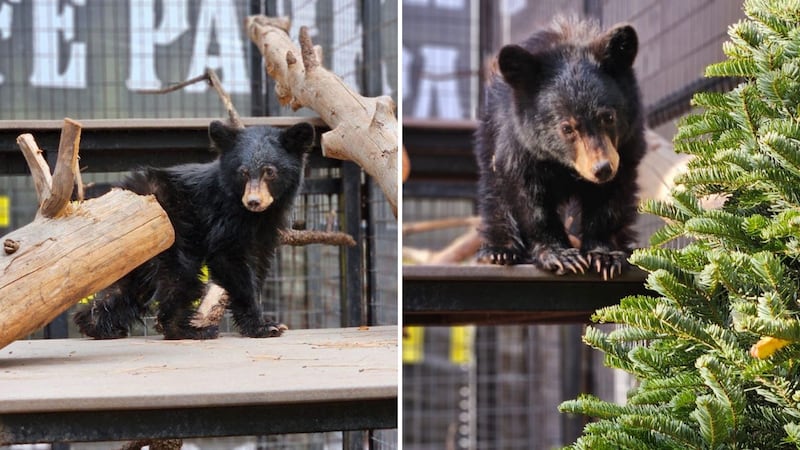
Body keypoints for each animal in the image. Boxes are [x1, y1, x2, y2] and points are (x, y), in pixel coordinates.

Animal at [74, 120, 314, 339]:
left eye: (270, 172)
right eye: (243, 173)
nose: (254, 201)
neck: (254, 215)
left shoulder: (265, 227)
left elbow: (256, 260)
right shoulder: (223, 217)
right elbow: (228, 258)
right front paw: (265, 326)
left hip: (135, 245)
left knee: (131, 285)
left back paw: (98, 326)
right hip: (171, 229)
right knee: (180, 276)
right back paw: (189, 330)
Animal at [474, 17, 646, 279]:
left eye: (608, 117)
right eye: (567, 128)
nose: (602, 169)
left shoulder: (626, 146)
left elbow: (612, 198)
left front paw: (606, 256)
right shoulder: (520, 145)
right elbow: (529, 199)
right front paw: (562, 256)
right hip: (488, 135)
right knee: (494, 191)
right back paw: (499, 251)